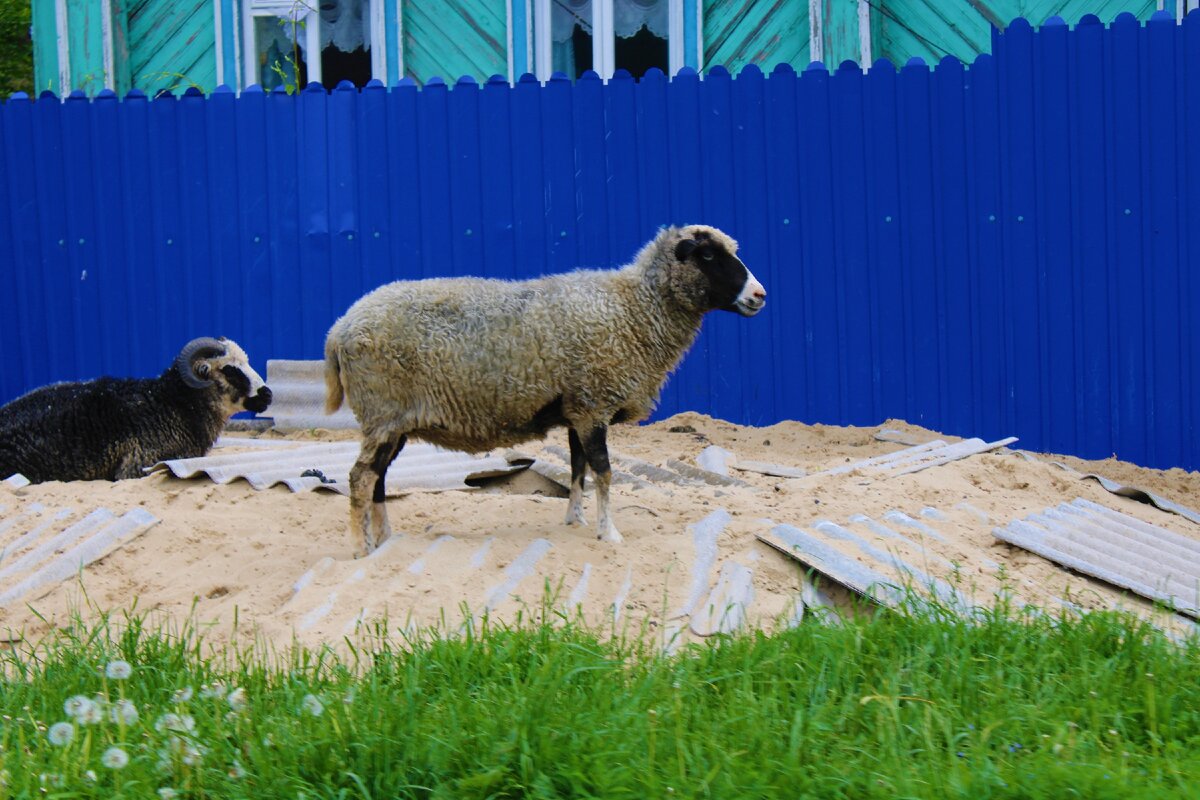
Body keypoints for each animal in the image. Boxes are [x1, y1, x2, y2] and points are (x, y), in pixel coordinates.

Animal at [324, 221, 763, 554]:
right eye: (707, 256)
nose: (760, 295)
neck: (634, 310)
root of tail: (341, 328)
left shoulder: (578, 410)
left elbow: (578, 468)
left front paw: (575, 520)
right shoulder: (593, 405)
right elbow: (604, 472)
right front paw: (609, 532)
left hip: (390, 420)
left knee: (377, 477)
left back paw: (385, 541)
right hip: (384, 411)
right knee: (360, 478)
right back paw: (361, 548)